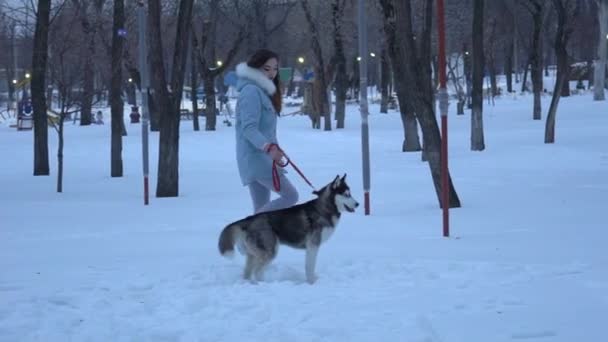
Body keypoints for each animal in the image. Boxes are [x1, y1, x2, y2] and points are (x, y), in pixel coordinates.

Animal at [218, 174, 358, 284]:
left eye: (350, 194)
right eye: (346, 195)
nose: (358, 204)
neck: (324, 209)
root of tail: (248, 219)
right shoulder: (313, 246)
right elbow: (310, 267)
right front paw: (311, 282)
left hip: (253, 254)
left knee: (247, 273)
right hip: (270, 251)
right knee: (257, 272)